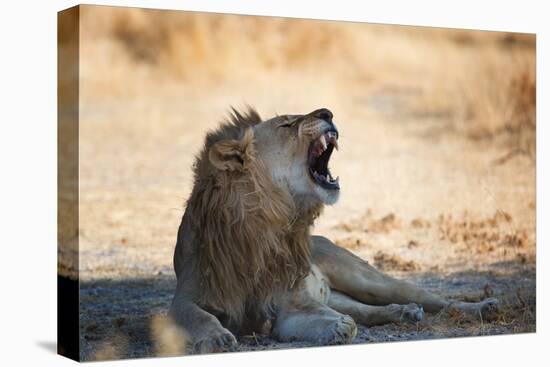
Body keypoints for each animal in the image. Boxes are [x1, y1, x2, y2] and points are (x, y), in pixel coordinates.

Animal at [170, 107, 502, 354]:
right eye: (286, 124)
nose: (327, 112)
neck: (266, 224)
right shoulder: (186, 297)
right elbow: (197, 316)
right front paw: (216, 337)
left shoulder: (290, 304)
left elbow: (320, 319)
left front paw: (337, 327)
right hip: (340, 294)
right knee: (366, 311)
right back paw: (405, 313)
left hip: (368, 279)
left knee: (436, 300)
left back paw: (484, 307)